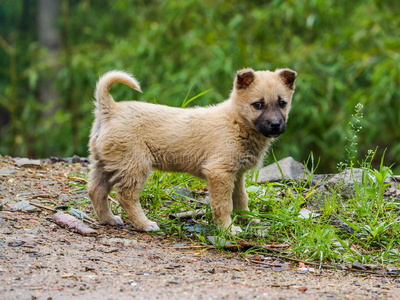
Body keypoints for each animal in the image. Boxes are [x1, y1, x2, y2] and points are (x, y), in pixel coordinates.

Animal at [90, 68, 296, 234]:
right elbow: (224, 204)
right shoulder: (219, 173)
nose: (275, 125)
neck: (236, 122)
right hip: (134, 164)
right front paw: (228, 229)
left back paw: (108, 219)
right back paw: (145, 224)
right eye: (258, 105)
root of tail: (111, 109)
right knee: (126, 196)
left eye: (282, 103)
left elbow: (241, 199)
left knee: (96, 191)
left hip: (105, 162)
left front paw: (247, 220)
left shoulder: (237, 174)